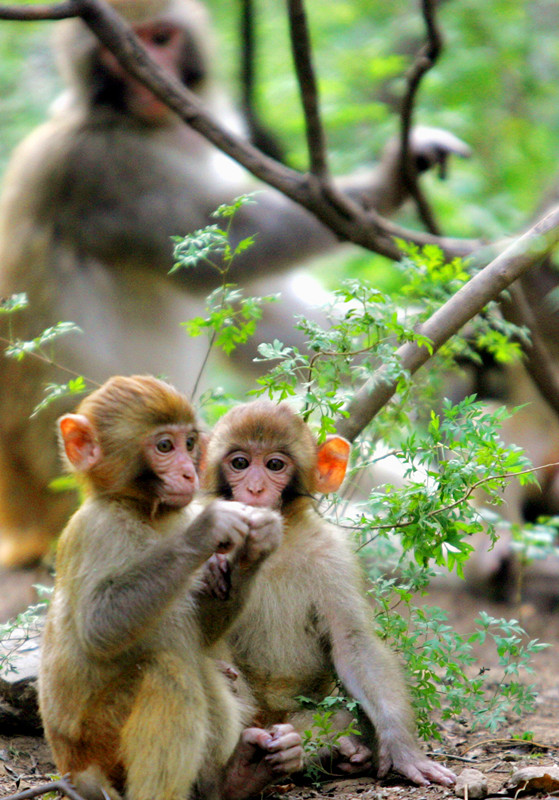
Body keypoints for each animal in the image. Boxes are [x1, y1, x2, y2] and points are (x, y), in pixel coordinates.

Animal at [0, 0, 470, 580]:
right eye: (116, 50)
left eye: (162, 36)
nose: (150, 77)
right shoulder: (101, 171)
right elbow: (223, 246)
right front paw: (388, 179)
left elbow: (243, 312)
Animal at [38, 378, 304, 800]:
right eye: (165, 446)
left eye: (190, 443)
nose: (188, 474)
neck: (144, 511)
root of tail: (72, 768)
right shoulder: (97, 531)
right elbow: (100, 626)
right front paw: (210, 526)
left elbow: (204, 628)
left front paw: (257, 544)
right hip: (99, 743)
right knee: (169, 672)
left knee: (202, 665)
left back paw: (239, 775)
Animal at [200, 400, 456, 788]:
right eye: (240, 463)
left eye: (275, 465)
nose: (255, 490)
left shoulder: (333, 555)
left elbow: (353, 644)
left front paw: (403, 750)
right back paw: (238, 773)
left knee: (338, 717)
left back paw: (333, 753)